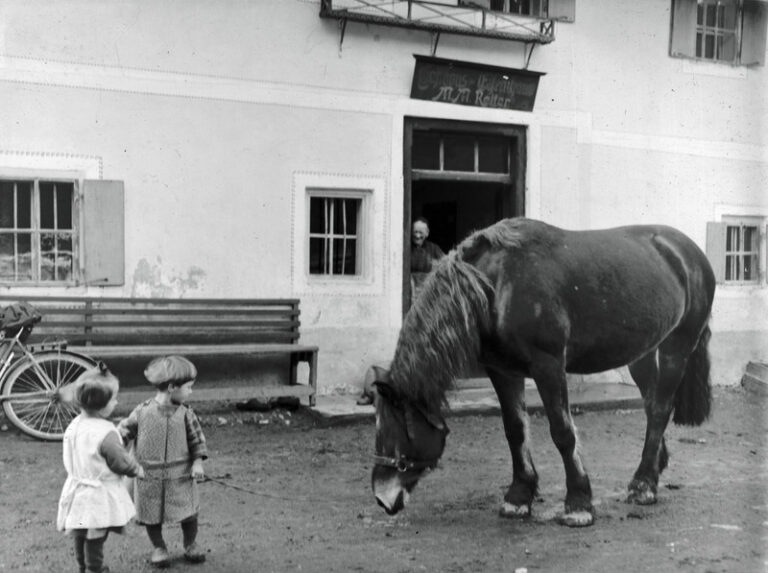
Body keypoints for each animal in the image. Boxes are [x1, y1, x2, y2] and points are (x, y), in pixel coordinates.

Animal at [372, 218, 712, 528]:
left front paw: (578, 503)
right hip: (641, 354)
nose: (382, 497)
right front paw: (518, 497)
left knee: (660, 408)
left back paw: (644, 485)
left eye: (397, 427)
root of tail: (689, 252)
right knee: (652, 405)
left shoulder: (548, 367)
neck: (497, 284)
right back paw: (653, 468)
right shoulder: (503, 371)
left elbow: (563, 433)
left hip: (676, 348)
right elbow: (515, 430)